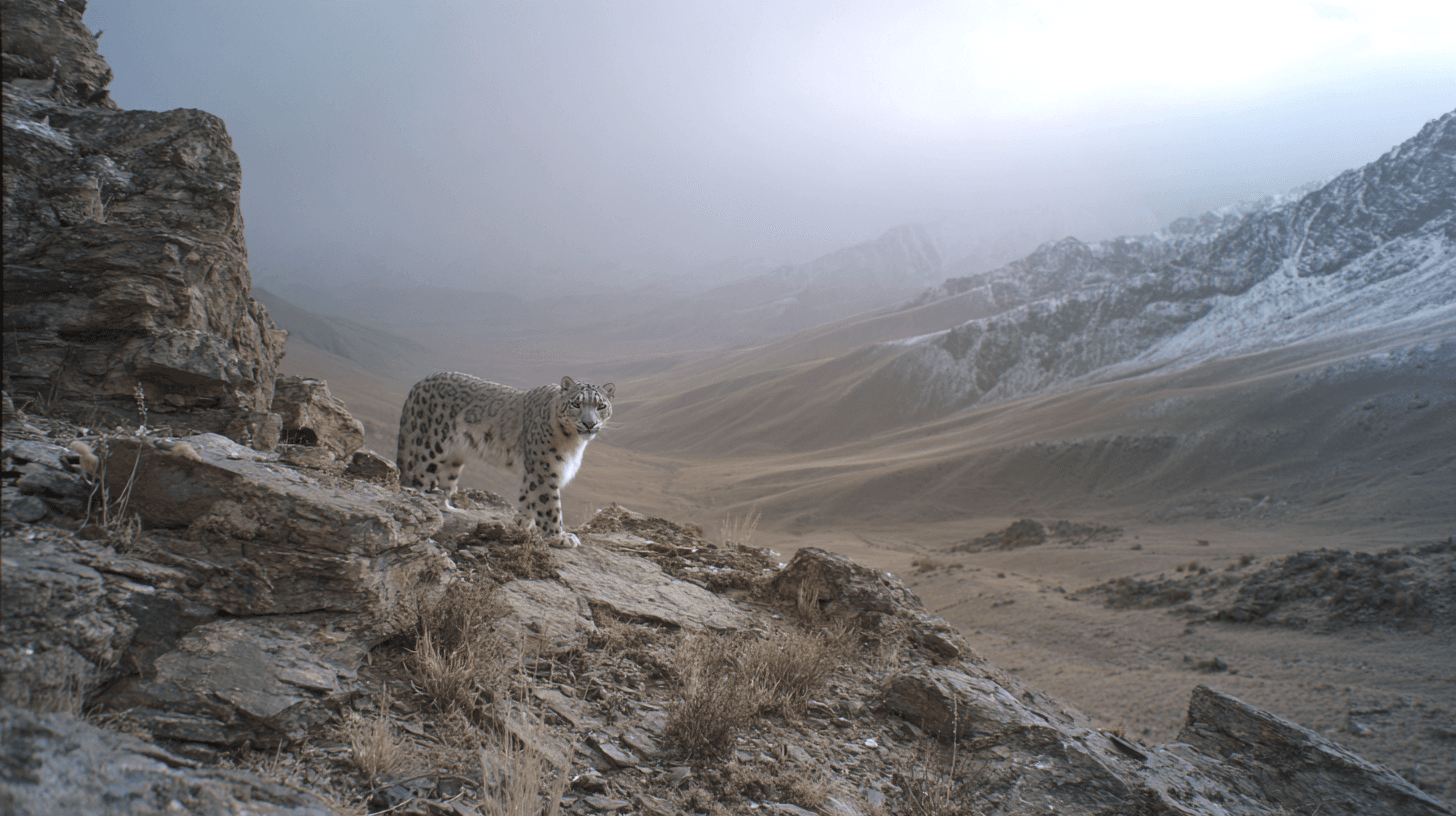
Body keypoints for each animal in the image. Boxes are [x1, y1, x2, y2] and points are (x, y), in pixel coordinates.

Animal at [396, 372, 614, 547]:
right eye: (576, 403)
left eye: (601, 405)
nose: (589, 423)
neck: (574, 444)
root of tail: (421, 382)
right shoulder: (544, 471)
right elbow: (548, 506)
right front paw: (559, 537)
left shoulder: (531, 471)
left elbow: (526, 499)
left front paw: (522, 524)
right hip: (429, 446)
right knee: (417, 478)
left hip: (454, 458)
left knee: (445, 481)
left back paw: (449, 508)